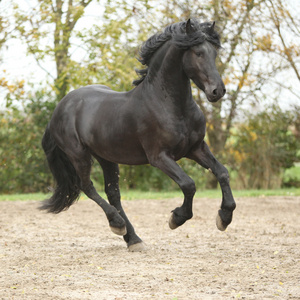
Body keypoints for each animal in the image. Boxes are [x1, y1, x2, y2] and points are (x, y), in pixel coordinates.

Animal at [40, 19, 237, 251]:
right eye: (197, 52)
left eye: (214, 53)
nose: (218, 91)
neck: (170, 105)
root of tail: (60, 107)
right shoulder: (159, 157)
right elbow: (188, 184)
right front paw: (176, 218)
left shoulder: (196, 149)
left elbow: (222, 172)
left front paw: (224, 217)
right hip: (78, 155)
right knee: (87, 186)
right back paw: (117, 223)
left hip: (106, 158)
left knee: (113, 193)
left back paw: (133, 238)